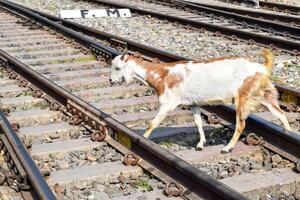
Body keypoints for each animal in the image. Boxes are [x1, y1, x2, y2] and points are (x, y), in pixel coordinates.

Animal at [109, 50, 290, 153]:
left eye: (117, 67)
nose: (110, 80)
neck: (162, 75)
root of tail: (262, 68)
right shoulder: (193, 103)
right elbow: (198, 122)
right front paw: (200, 144)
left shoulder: (169, 102)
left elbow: (153, 123)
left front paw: (143, 139)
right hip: (264, 94)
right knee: (281, 114)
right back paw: (288, 135)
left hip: (242, 96)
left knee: (241, 124)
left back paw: (227, 148)